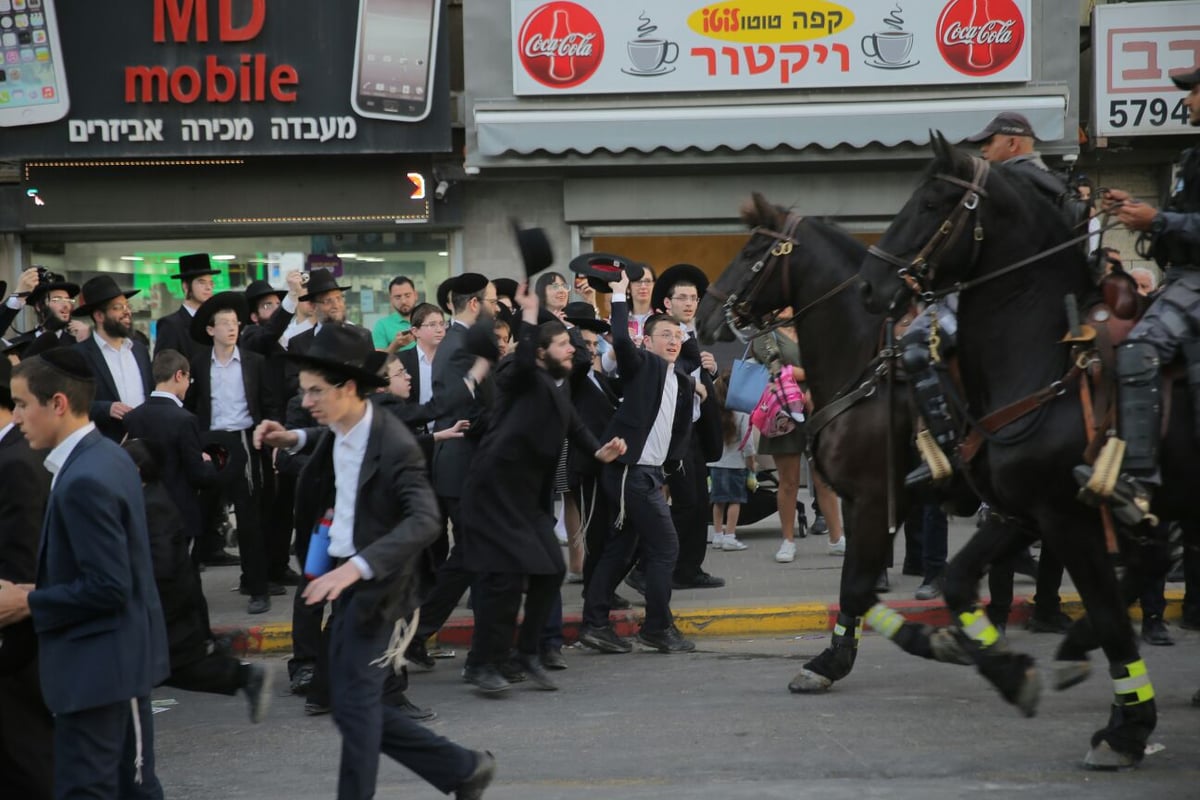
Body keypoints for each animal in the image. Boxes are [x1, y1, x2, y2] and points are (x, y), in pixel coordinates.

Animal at [700, 195, 969, 695]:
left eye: (752, 251)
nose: (704, 313)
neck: (865, 367)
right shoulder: (867, 501)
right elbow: (857, 582)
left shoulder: (874, 498)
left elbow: (855, 584)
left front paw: (832, 659)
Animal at [859, 134, 1195, 772]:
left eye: (932, 202)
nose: (870, 286)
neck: (1045, 356)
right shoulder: (1021, 511)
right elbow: (960, 580)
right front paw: (1010, 670)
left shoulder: (1067, 517)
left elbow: (1110, 615)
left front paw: (1127, 728)